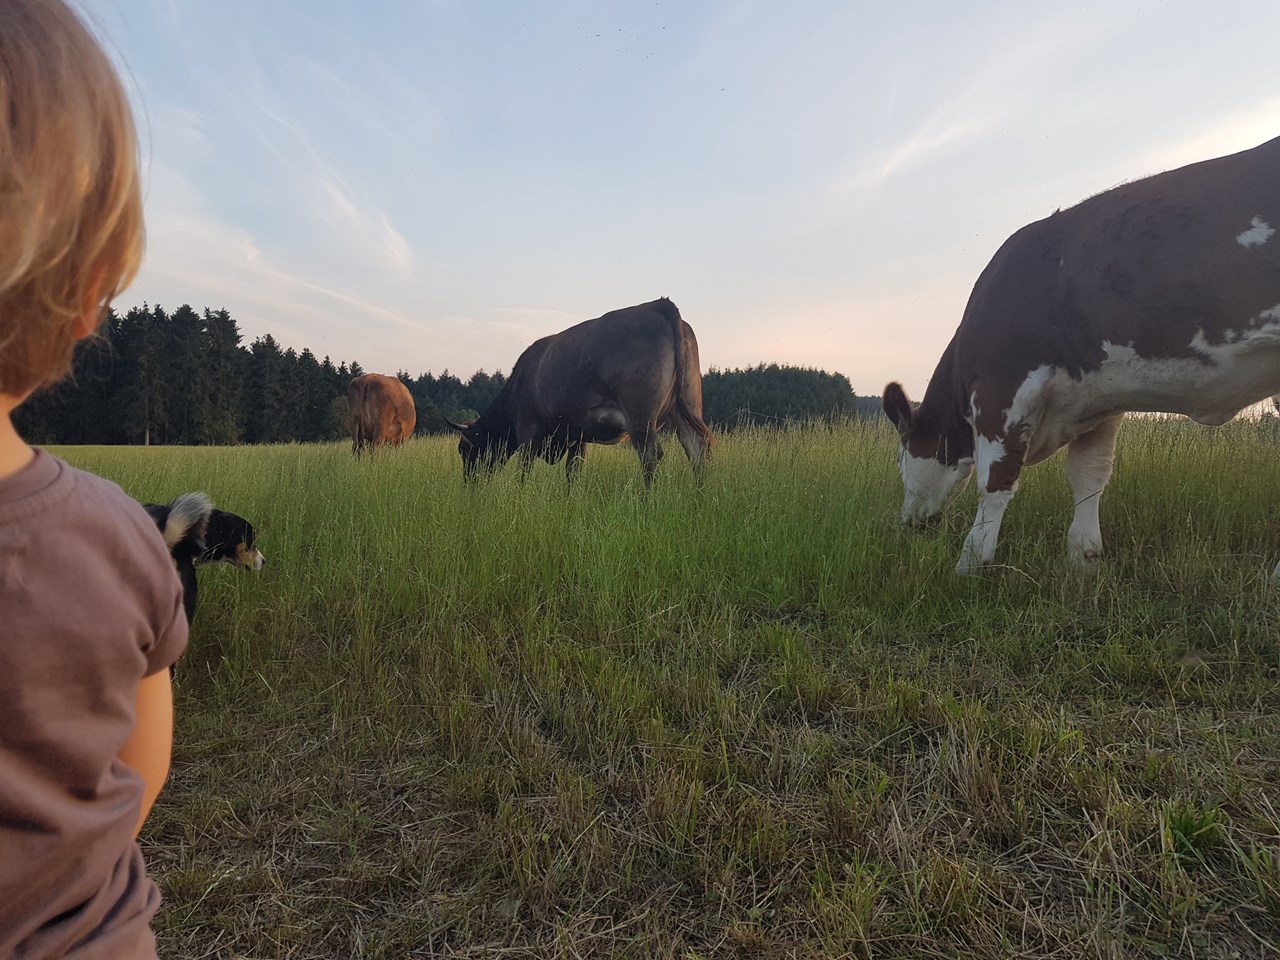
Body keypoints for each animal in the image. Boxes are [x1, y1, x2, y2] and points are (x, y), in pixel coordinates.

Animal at [450, 297, 713, 487]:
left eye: (464, 449)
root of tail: (659, 304)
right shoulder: (577, 434)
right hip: (686, 405)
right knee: (697, 449)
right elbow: (573, 472)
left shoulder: (527, 428)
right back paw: (699, 500)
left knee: (650, 456)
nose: (468, 484)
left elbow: (524, 471)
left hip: (640, 416)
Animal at [882, 134, 1280, 576]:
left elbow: (995, 480)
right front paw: (1084, 557)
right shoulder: (1099, 400)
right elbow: (1089, 475)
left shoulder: (1001, 387)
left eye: (899, 459)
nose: (908, 522)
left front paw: (971, 563)